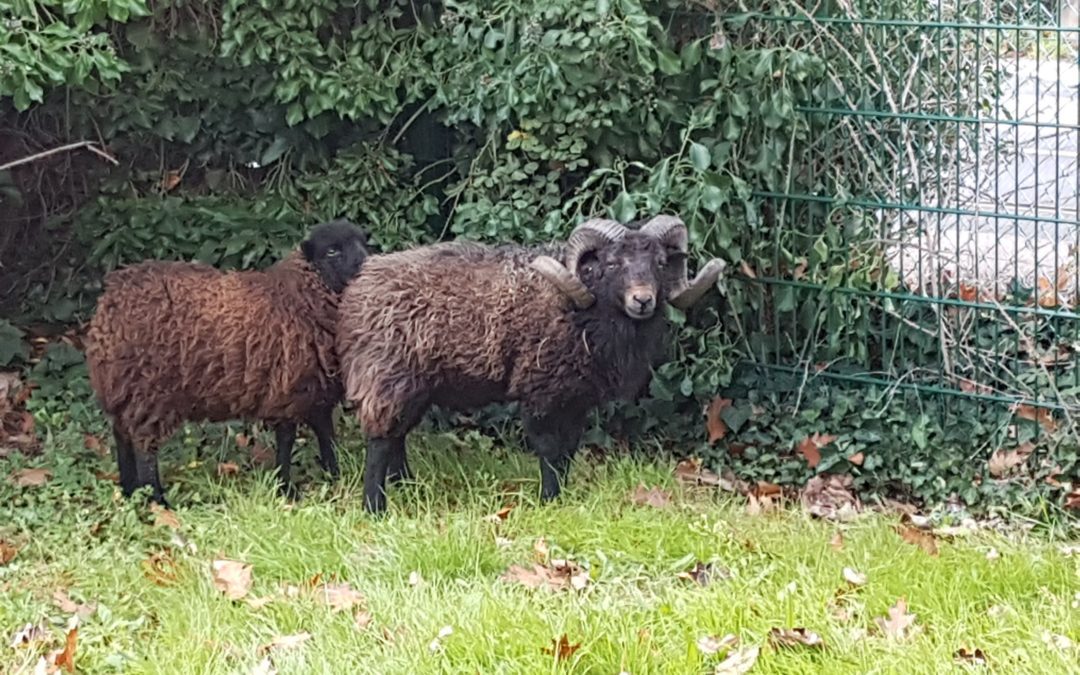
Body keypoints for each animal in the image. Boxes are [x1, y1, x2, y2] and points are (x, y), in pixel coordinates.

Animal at [85, 218, 371, 503]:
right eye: (331, 251)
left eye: (363, 242)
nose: (366, 266)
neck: (300, 294)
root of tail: (111, 300)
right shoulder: (289, 389)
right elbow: (287, 440)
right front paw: (285, 488)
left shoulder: (317, 391)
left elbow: (326, 435)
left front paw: (334, 477)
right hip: (148, 391)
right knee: (144, 446)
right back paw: (157, 500)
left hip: (123, 388)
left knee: (122, 436)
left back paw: (129, 490)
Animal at [336, 212, 725, 514]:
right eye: (613, 264)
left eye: (660, 263)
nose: (642, 300)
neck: (581, 308)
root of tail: (360, 285)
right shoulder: (539, 389)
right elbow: (549, 448)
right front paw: (548, 499)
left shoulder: (576, 397)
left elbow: (568, 449)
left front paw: (563, 497)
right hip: (386, 374)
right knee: (380, 439)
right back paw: (375, 509)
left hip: (413, 384)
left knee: (397, 436)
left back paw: (406, 486)